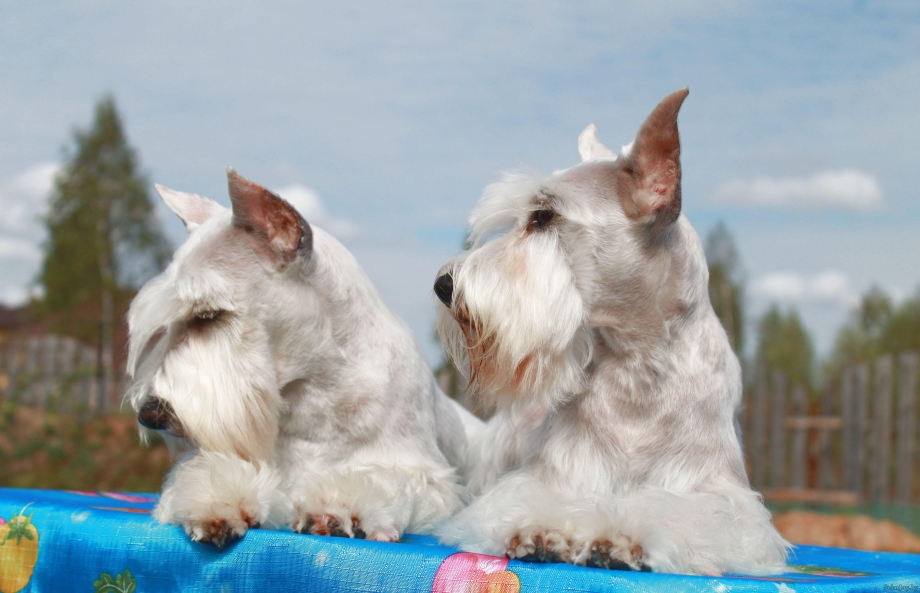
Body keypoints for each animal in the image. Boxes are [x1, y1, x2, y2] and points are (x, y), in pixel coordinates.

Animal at [126, 166, 482, 544]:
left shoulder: (424, 475)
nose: (149, 414)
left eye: (208, 314)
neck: (315, 390)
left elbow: (380, 479)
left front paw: (338, 508)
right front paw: (217, 500)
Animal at [432, 89, 792, 572]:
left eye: (543, 215)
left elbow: (675, 511)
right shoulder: (550, 475)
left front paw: (620, 537)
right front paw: (541, 530)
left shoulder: (719, 495)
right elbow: (532, 499)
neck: (637, 368)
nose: (443, 285)